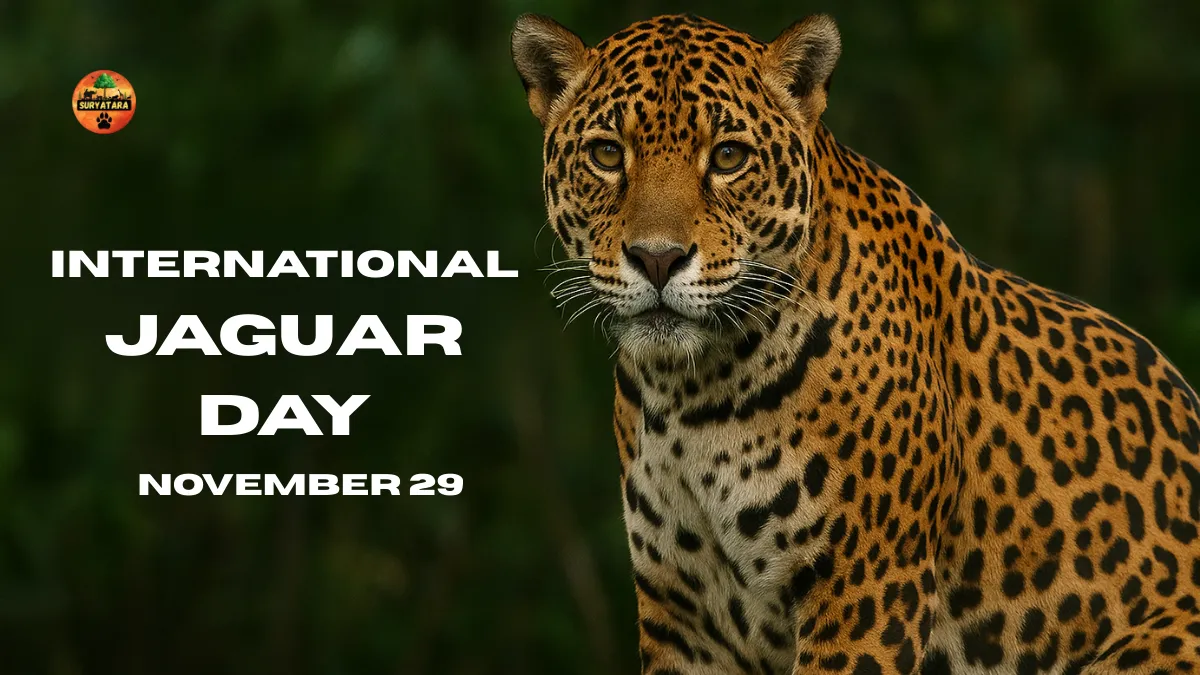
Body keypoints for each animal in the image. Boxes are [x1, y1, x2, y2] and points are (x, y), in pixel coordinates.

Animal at [510, 12, 1200, 675]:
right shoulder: (683, 617)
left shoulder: (866, 591)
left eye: (729, 157)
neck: (694, 392)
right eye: (607, 154)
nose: (657, 258)